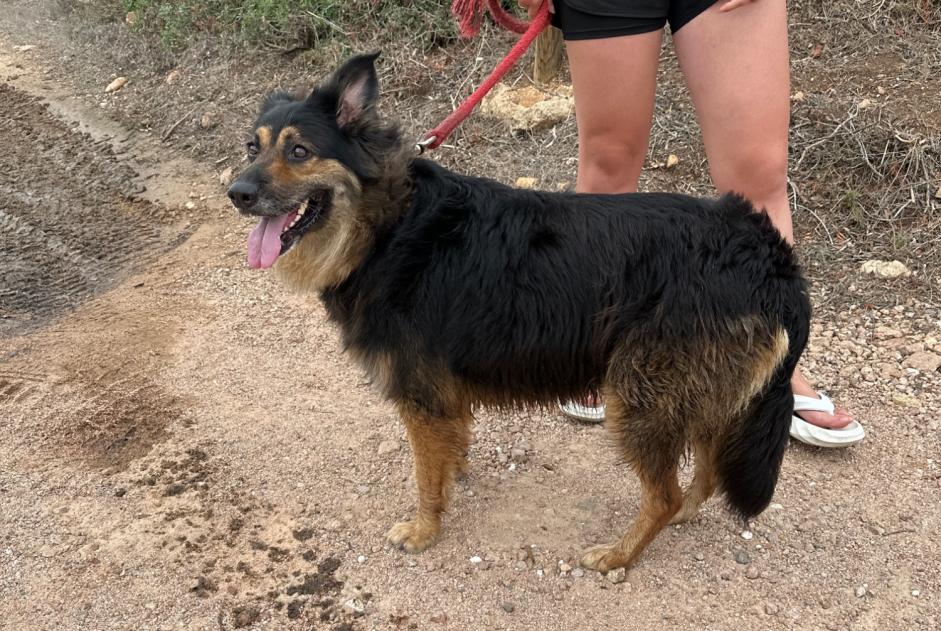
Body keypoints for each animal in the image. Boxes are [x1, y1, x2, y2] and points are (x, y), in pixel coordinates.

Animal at [226, 51, 808, 572]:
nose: (237, 192)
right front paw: (455, 476)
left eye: (299, 150)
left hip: (642, 396)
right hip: (703, 392)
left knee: (663, 494)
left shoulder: (420, 396)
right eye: (252, 147)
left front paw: (424, 530)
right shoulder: (442, 396)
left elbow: (425, 476)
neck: (388, 226)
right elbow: (449, 450)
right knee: (706, 472)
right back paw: (683, 514)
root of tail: (771, 256)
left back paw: (619, 554)